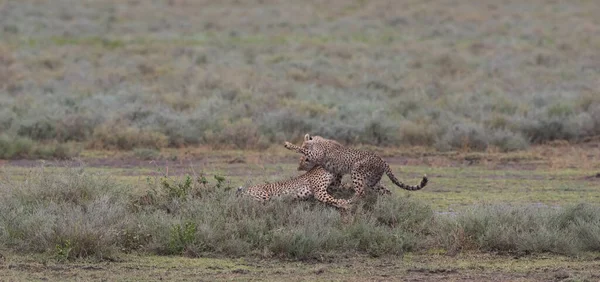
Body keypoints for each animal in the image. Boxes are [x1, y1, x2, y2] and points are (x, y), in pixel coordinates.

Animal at [284, 134, 428, 203]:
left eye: (304, 143)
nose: (299, 166)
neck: (319, 141)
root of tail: (382, 160)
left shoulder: (317, 155)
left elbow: (302, 150)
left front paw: (289, 145)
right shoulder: (337, 172)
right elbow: (336, 182)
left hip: (357, 170)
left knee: (360, 192)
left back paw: (349, 201)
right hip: (372, 182)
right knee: (386, 191)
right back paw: (390, 203)